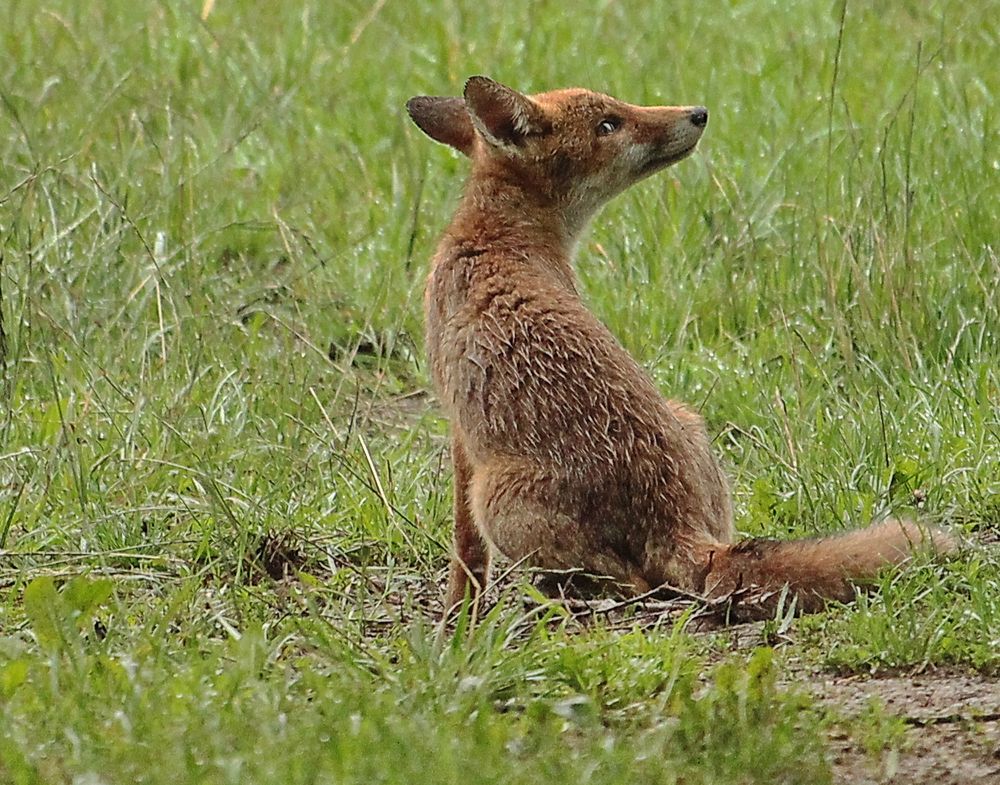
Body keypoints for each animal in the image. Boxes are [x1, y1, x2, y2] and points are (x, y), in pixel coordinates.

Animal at [404, 78, 952, 620]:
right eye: (609, 124)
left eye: (615, 111)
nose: (699, 113)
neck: (495, 238)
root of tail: (678, 523)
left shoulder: (460, 435)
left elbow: (466, 551)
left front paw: (457, 617)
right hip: (685, 417)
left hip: (495, 496)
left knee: (636, 584)